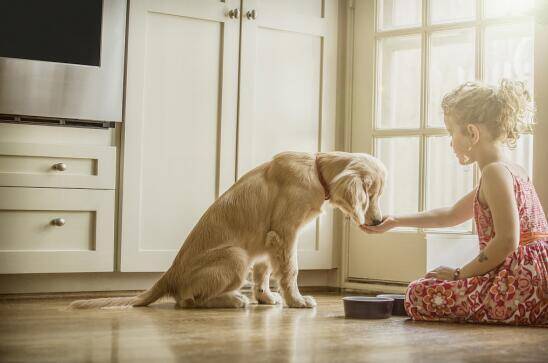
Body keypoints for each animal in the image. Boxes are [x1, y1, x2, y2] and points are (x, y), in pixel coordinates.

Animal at [70, 151, 386, 310]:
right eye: (371, 194)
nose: (378, 221)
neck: (316, 169)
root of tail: (169, 276)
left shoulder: (267, 242)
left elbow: (264, 273)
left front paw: (266, 298)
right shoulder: (284, 234)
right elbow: (290, 271)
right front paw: (296, 300)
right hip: (236, 256)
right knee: (187, 300)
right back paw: (234, 299)